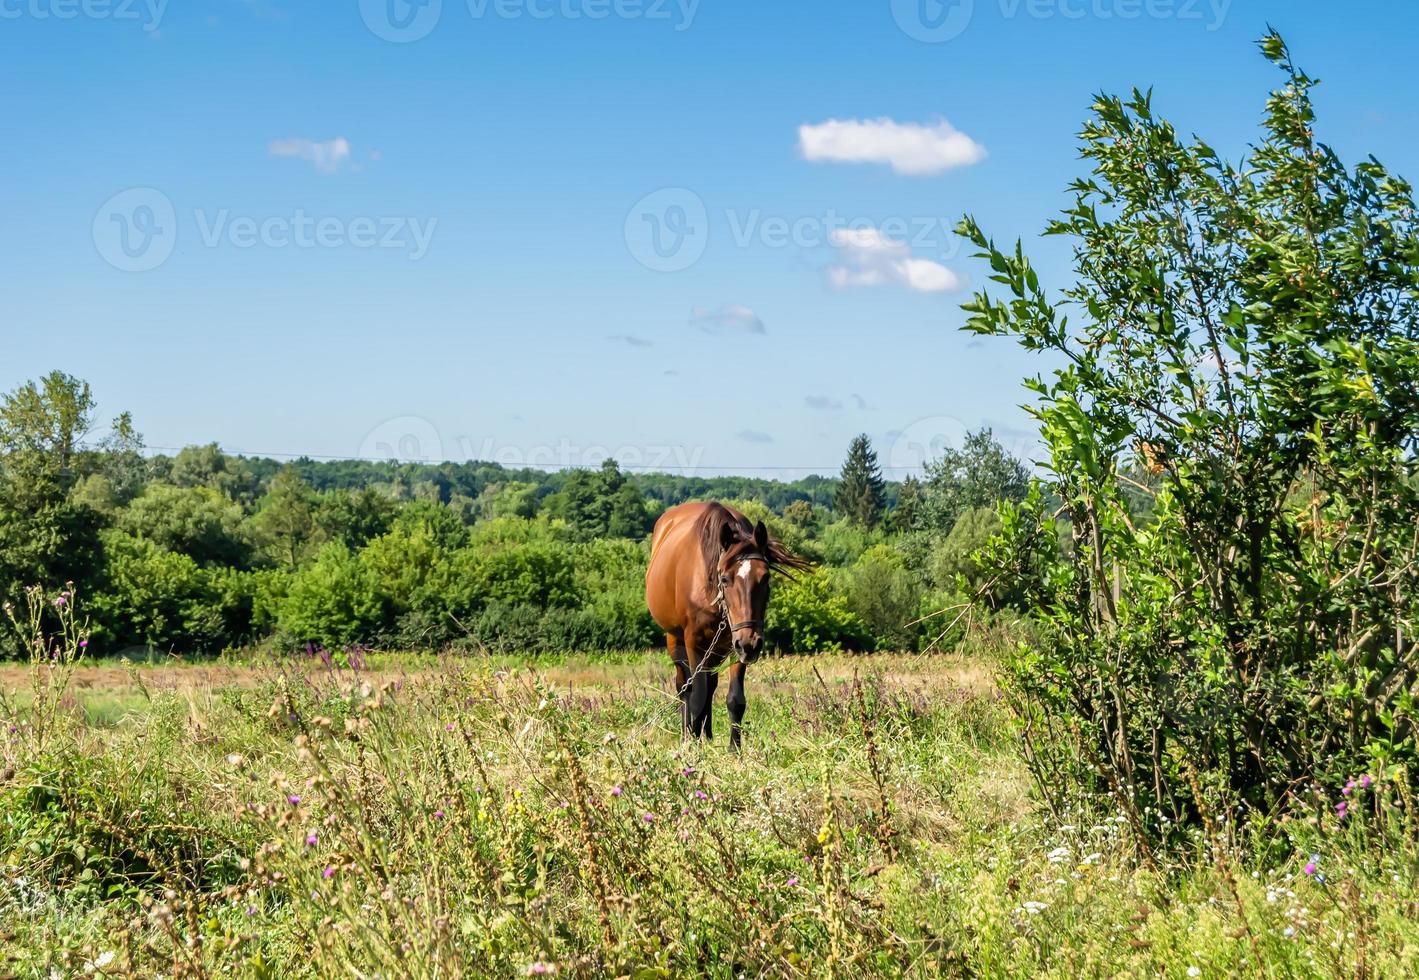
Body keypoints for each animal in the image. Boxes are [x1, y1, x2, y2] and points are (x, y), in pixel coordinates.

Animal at [644, 502, 811, 748]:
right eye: (725, 579)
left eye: (766, 578)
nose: (751, 643)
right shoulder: (694, 642)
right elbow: (696, 696)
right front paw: (694, 745)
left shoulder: (736, 645)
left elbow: (734, 699)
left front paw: (734, 748)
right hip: (675, 639)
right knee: (684, 686)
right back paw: (687, 735)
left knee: (710, 684)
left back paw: (707, 734)